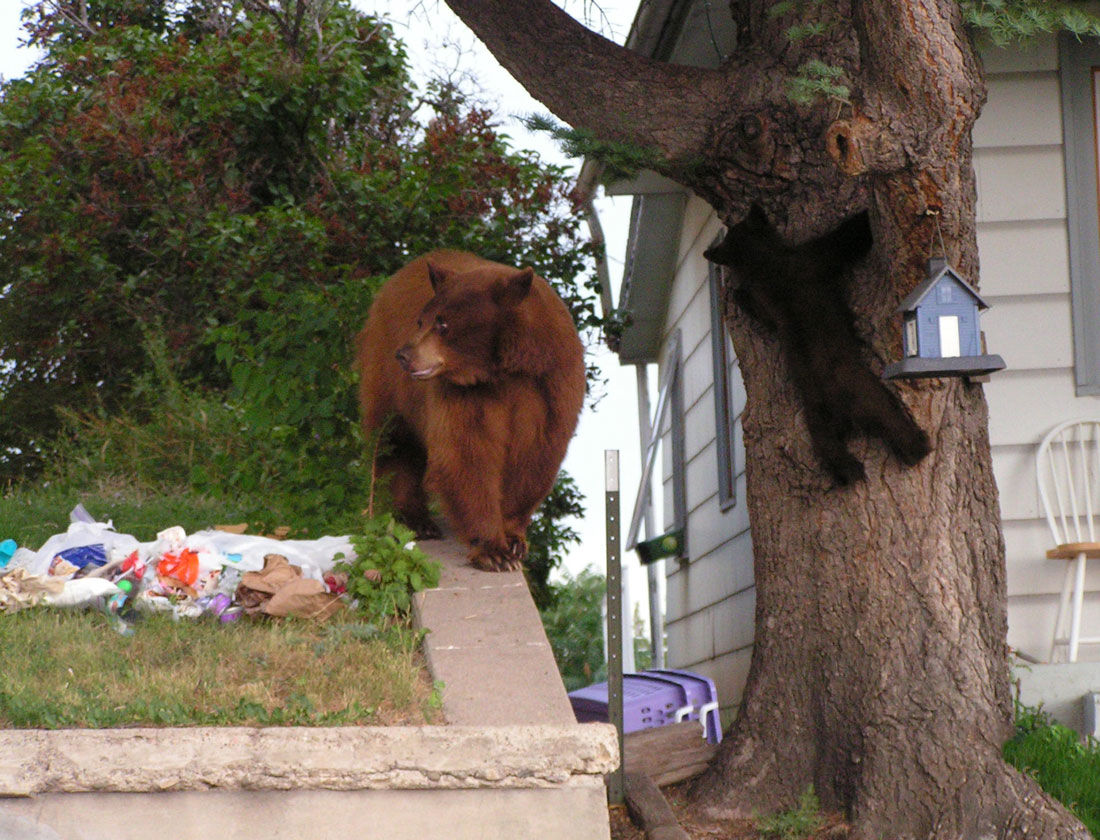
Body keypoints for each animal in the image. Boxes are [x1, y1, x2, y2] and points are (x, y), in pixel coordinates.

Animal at [356, 250, 586, 572]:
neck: (505, 370)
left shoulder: (551, 388)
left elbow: (536, 456)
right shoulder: (465, 394)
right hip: (388, 378)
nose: (403, 355)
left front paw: (514, 538)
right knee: (396, 439)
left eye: (442, 324)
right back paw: (416, 518)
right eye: (421, 321)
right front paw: (493, 550)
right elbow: (466, 453)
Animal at [704, 205, 931, 486]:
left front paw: (739, 295)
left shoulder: (764, 299)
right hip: (870, 397)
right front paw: (865, 214)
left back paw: (850, 472)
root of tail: (840, 413)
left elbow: (758, 308)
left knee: (828, 447)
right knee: (892, 421)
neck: (762, 261)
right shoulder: (815, 256)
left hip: (818, 420)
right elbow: (847, 237)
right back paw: (919, 445)